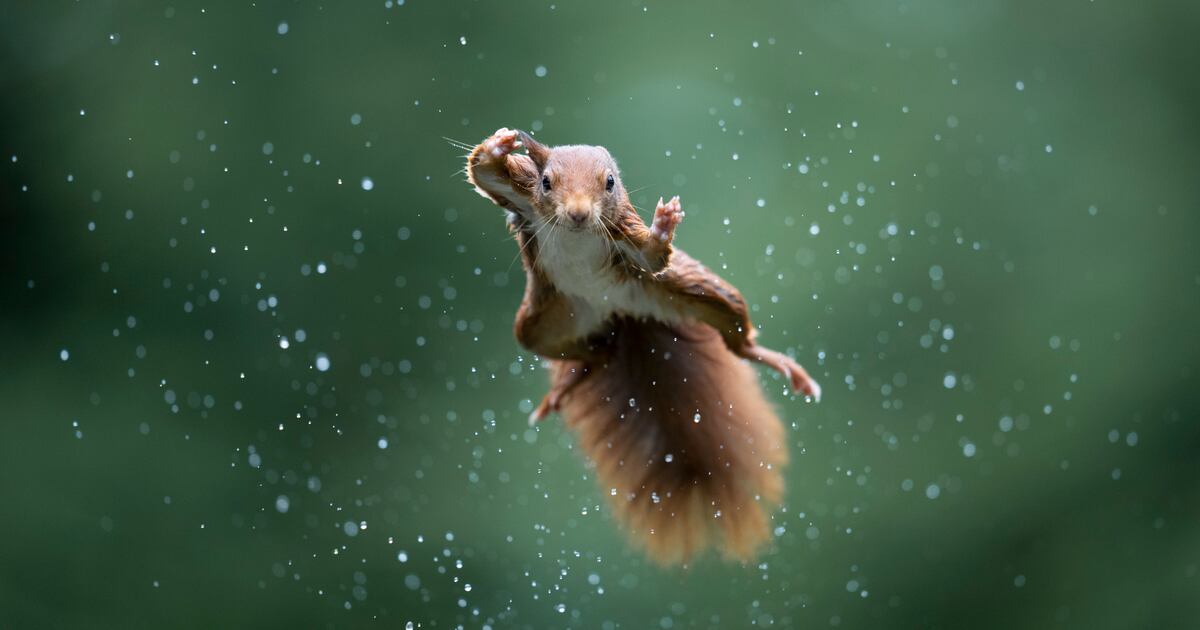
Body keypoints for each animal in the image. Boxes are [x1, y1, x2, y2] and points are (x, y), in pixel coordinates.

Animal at [465, 127, 821, 565]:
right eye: (546, 182)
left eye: (610, 183)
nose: (579, 214)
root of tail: (620, 314)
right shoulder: (523, 197)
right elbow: (484, 172)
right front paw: (500, 144)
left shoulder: (623, 234)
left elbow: (652, 255)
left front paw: (664, 225)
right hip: (541, 324)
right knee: (594, 354)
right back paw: (565, 386)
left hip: (696, 292)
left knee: (736, 339)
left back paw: (783, 366)